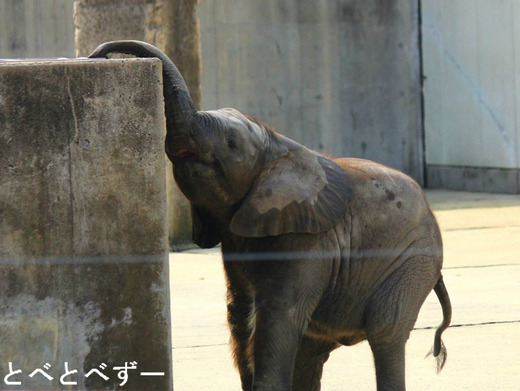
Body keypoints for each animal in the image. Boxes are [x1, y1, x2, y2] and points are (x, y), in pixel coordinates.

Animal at [89, 40, 450, 391]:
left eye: (231, 143)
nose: (99, 54)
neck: (277, 144)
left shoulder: (306, 240)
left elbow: (280, 314)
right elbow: (239, 314)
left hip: (412, 263)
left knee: (385, 331)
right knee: (311, 351)